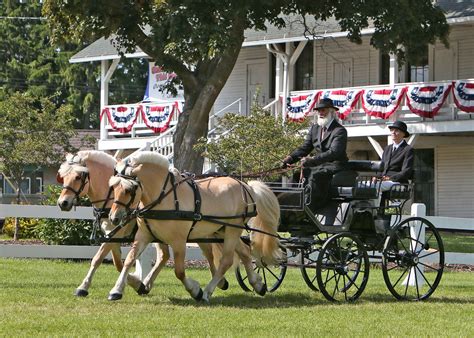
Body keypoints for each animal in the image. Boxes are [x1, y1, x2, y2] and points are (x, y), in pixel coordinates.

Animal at [55, 151, 230, 296]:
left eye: (78, 177)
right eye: (63, 177)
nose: (62, 203)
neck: (111, 196)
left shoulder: (119, 233)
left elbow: (101, 259)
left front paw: (85, 286)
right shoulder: (113, 234)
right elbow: (117, 262)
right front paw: (138, 284)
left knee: (209, 254)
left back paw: (218, 282)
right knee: (166, 256)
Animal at [107, 152, 282, 302]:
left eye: (129, 189)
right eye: (114, 187)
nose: (113, 218)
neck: (164, 197)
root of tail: (246, 186)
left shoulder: (178, 241)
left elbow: (179, 271)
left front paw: (195, 290)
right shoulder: (145, 235)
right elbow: (129, 259)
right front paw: (116, 290)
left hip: (233, 229)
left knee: (226, 260)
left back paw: (207, 292)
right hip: (222, 229)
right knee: (245, 253)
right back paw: (257, 284)